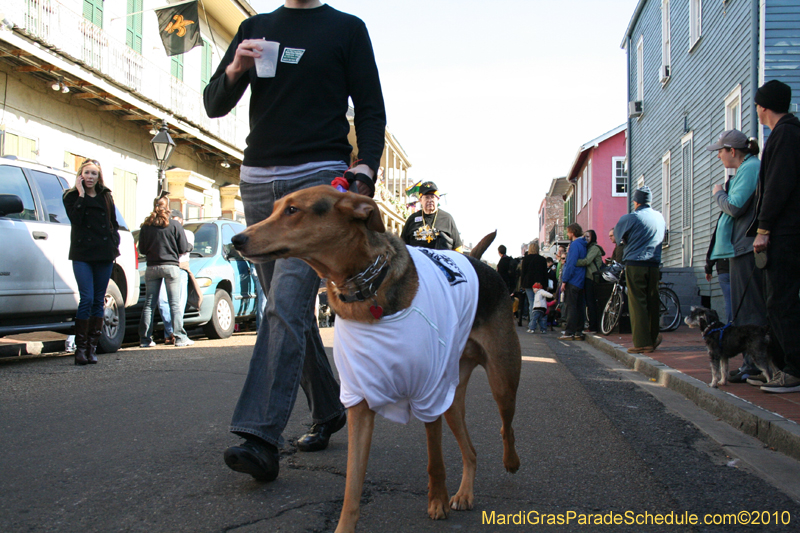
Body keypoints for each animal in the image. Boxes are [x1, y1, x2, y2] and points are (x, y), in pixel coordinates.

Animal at [228, 184, 520, 532]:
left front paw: (436, 501)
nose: (236, 240)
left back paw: (510, 462)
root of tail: (475, 262)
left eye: (293, 210)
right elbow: (353, 484)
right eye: (274, 209)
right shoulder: (360, 400)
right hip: (451, 401)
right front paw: (344, 526)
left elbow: (435, 460)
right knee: (471, 451)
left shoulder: (428, 395)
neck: (364, 286)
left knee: (506, 427)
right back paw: (464, 493)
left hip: (502, 380)